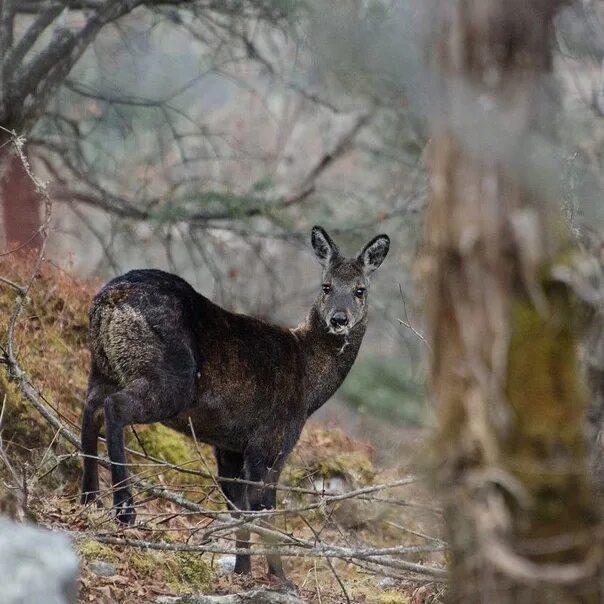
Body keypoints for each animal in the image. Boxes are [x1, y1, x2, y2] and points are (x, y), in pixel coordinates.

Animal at [80, 226, 390, 584]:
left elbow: (238, 507)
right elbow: (264, 510)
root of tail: (112, 297)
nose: (339, 319)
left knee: (90, 409)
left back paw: (88, 500)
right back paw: (124, 510)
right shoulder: (272, 439)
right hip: (168, 377)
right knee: (114, 408)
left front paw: (242, 570)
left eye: (359, 290)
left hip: (102, 368)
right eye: (326, 287)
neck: (309, 383)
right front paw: (280, 579)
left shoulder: (229, 446)